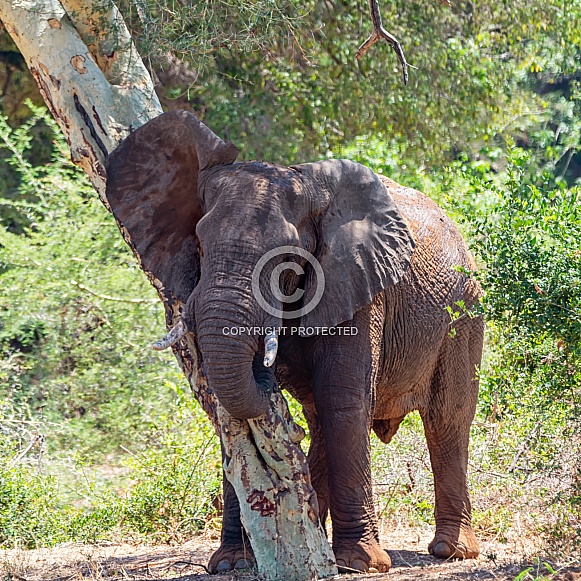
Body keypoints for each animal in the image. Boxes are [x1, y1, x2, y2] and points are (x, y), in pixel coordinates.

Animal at [104, 111, 480, 572]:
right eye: (200, 243)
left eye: (287, 258)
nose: (268, 374)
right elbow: (237, 411)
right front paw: (230, 563)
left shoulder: (360, 285)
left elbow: (344, 401)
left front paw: (360, 563)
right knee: (318, 420)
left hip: (465, 312)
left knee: (447, 419)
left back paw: (452, 551)